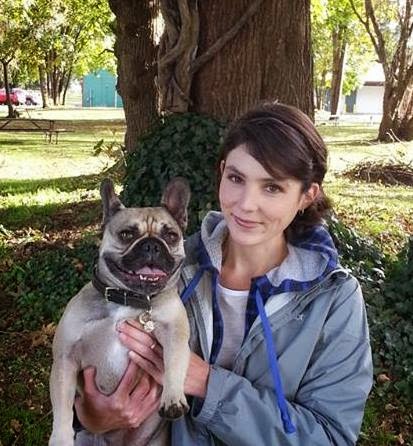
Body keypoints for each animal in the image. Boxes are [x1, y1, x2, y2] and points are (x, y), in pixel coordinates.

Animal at [49, 177, 191, 446]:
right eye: (127, 234)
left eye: (170, 235)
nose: (152, 245)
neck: (127, 299)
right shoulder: (65, 358)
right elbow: (62, 403)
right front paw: (60, 438)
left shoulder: (175, 331)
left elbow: (175, 360)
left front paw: (173, 397)